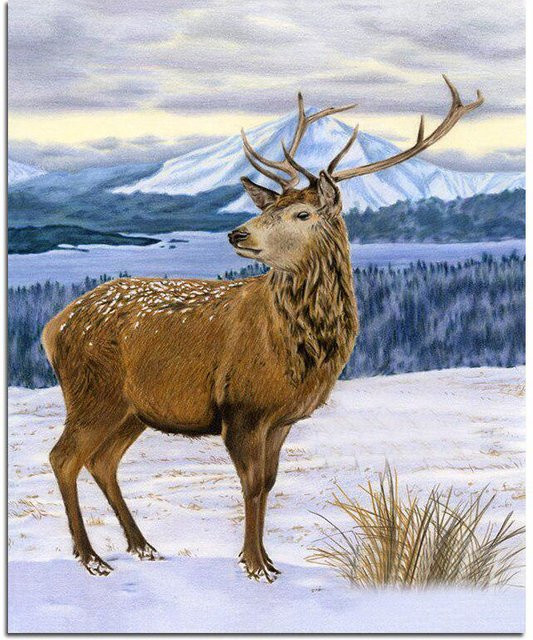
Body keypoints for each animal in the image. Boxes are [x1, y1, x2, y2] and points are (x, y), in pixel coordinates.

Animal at [42, 76, 483, 581]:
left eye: (302, 214)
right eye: (271, 207)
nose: (237, 234)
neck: (300, 352)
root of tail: (52, 328)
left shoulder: (281, 418)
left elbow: (268, 484)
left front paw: (267, 560)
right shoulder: (242, 407)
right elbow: (251, 485)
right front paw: (255, 566)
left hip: (131, 409)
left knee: (102, 461)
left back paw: (143, 547)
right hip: (93, 392)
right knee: (64, 458)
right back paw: (91, 558)